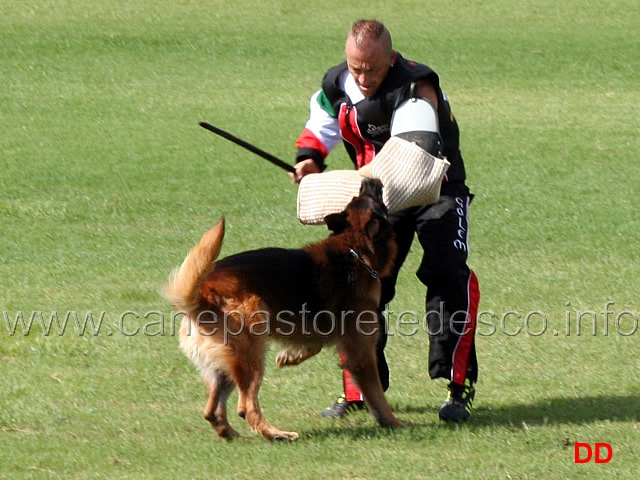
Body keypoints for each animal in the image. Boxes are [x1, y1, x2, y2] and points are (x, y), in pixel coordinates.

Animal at [165, 178, 404, 440]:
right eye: (376, 200)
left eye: (356, 197)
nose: (369, 180)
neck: (355, 247)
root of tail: (203, 293)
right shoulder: (361, 352)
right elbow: (376, 394)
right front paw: (394, 422)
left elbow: (314, 344)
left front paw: (291, 356)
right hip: (252, 348)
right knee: (245, 407)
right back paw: (276, 434)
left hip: (226, 365)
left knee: (212, 410)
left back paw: (234, 435)